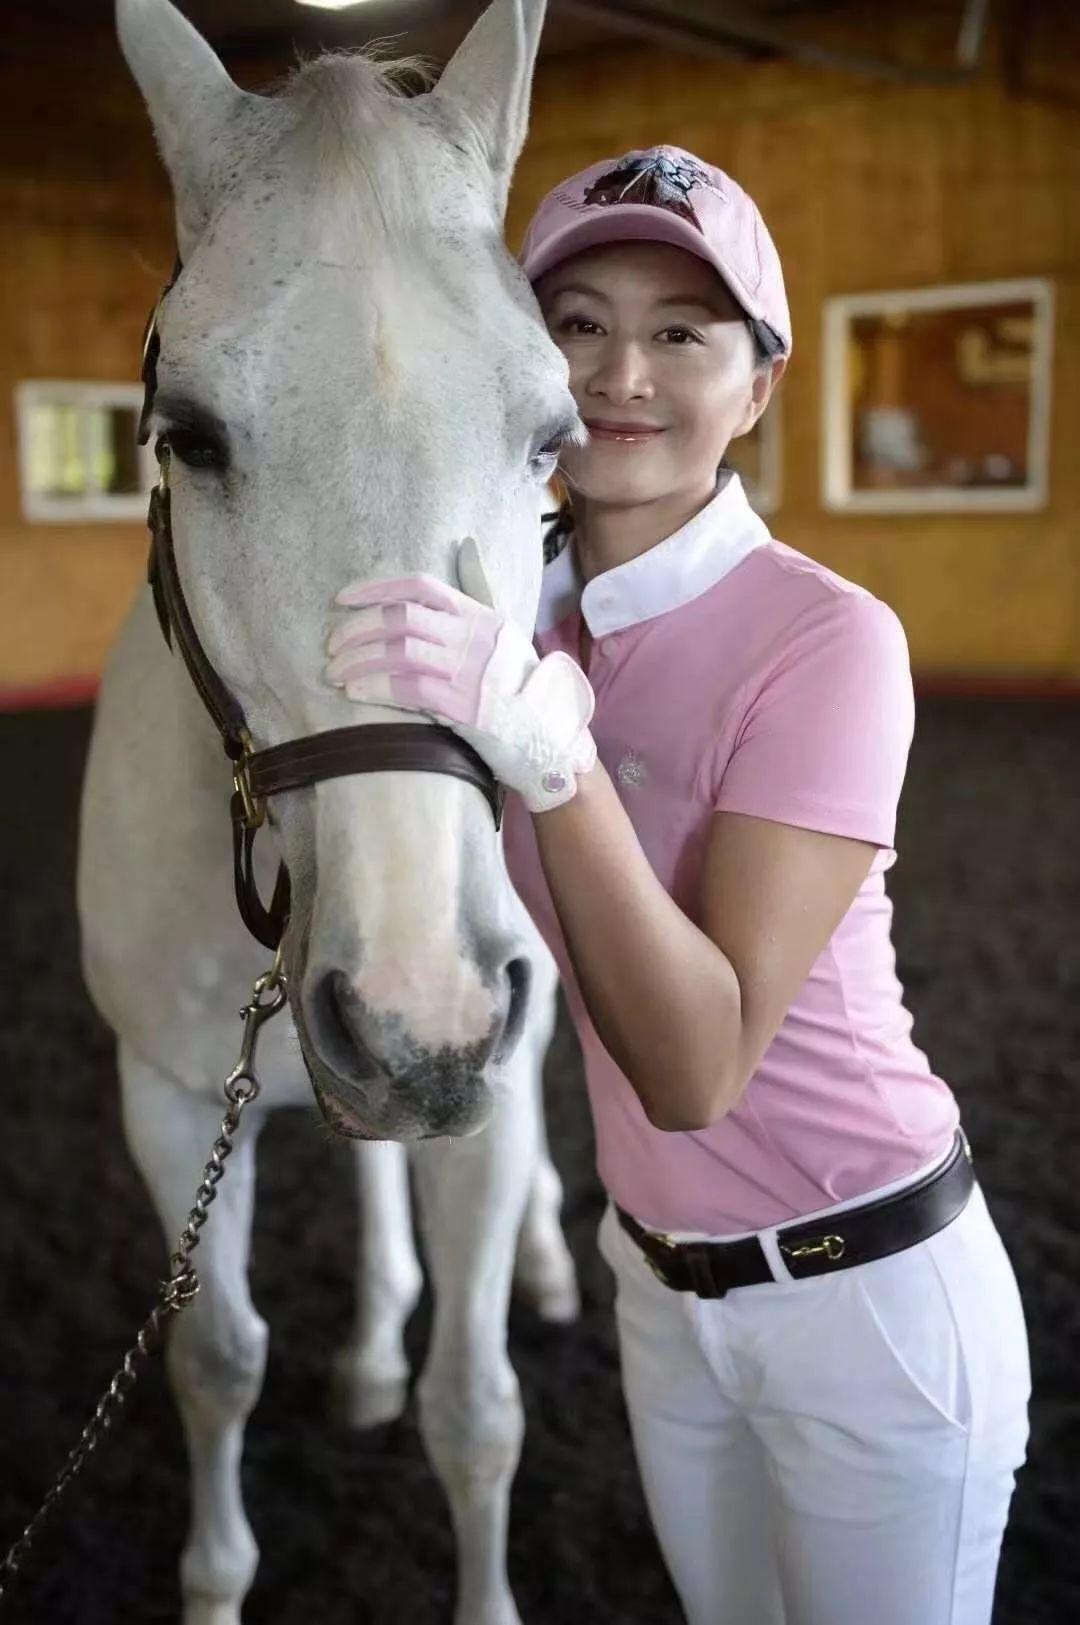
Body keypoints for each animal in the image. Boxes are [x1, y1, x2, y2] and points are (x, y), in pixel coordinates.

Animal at [75, 6, 581, 1618]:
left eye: (552, 434)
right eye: (188, 433)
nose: (423, 1009)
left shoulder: (486, 1084)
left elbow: (476, 1410)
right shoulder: (172, 1097)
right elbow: (217, 1359)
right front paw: (215, 1578)